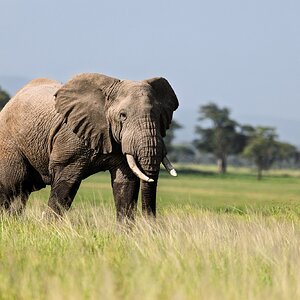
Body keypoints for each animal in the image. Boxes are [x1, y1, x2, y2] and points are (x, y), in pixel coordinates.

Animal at [0, 73, 178, 220]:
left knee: (20, 193)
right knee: (11, 187)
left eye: (159, 116)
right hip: (9, 143)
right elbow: (67, 182)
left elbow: (125, 184)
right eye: (123, 116)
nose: (151, 224)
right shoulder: (71, 139)